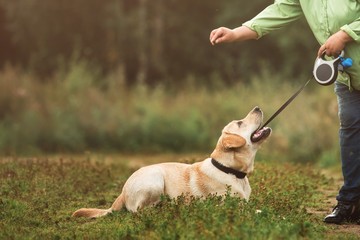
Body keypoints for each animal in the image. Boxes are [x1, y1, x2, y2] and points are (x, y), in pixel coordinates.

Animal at [72, 106, 270, 218]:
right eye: (239, 123)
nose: (258, 107)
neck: (229, 170)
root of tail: (121, 193)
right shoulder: (228, 207)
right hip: (154, 180)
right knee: (140, 211)